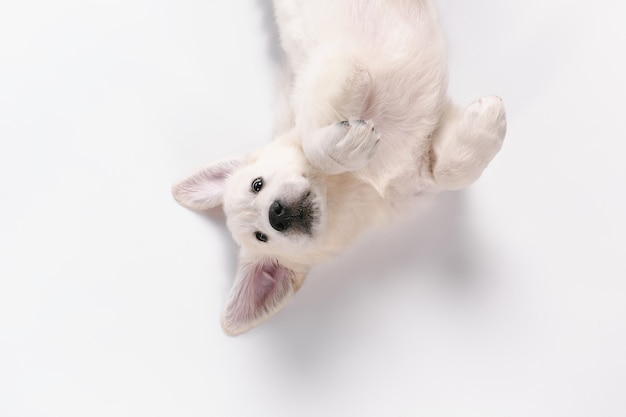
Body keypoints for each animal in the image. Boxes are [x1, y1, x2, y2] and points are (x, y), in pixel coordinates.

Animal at [173, 0, 504, 334]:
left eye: (257, 184)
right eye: (261, 237)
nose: (276, 214)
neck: (353, 184)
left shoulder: (316, 83)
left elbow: (315, 133)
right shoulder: (417, 179)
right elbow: (447, 174)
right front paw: (487, 121)